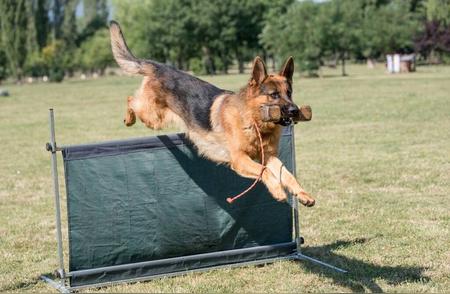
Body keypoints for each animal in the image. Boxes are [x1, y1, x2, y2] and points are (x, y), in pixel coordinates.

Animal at [110, 21, 312, 207]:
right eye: (274, 95)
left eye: (289, 93)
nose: (295, 110)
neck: (252, 121)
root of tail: (160, 67)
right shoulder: (239, 159)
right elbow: (265, 171)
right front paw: (277, 190)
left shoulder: (269, 157)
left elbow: (287, 175)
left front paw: (303, 194)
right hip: (153, 117)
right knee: (131, 100)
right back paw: (128, 119)